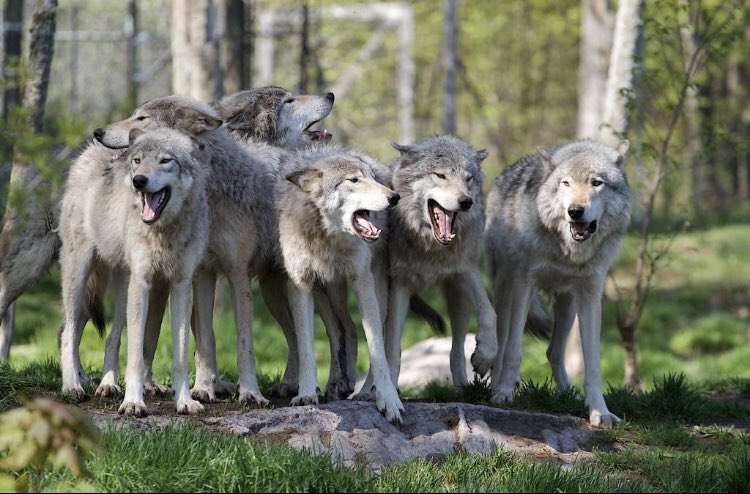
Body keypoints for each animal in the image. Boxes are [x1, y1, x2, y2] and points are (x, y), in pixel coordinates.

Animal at [59, 127, 209, 416]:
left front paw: (184, 401)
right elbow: (137, 356)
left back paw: (106, 384)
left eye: (165, 160)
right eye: (138, 161)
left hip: (121, 287)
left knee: (111, 336)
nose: (139, 180)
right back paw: (72, 385)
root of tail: (92, 149)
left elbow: (181, 356)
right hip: (79, 274)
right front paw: (133, 402)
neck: (164, 232)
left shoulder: (181, 285)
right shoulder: (143, 282)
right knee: (68, 331)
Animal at [277, 144, 404, 422]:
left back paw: (363, 391)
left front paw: (389, 400)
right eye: (353, 180)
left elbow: (377, 350)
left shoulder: (362, 281)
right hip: (325, 292)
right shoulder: (299, 284)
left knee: (362, 331)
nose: (394, 197)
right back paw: (337, 382)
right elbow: (306, 348)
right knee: (343, 330)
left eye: (372, 178)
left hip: (373, 290)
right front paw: (306, 393)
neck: (328, 238)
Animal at [359, 136, 498, 396]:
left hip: (457, 297)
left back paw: (463, 388)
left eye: (468, 178)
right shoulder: (400, 286)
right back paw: (366, 391)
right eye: (440, 175)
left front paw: (486, 355)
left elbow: (489, 311)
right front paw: (390, 391)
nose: (466, 201)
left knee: (456, 347)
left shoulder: (464, 269)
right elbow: (392, 350)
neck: (430, 248)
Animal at [484, 139, 631, 428]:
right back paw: (497, 386)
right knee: (503, 345)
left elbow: (592, 363)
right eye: (566, 183)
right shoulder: (523, 284)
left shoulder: (591, 294)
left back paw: (569, 395)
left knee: (553, 351)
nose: (575, 211)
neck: (567, 250)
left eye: (596, 183)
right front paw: (504, 393)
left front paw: (599, 411)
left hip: (568, 305)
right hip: (505, 292)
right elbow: (514, 350)